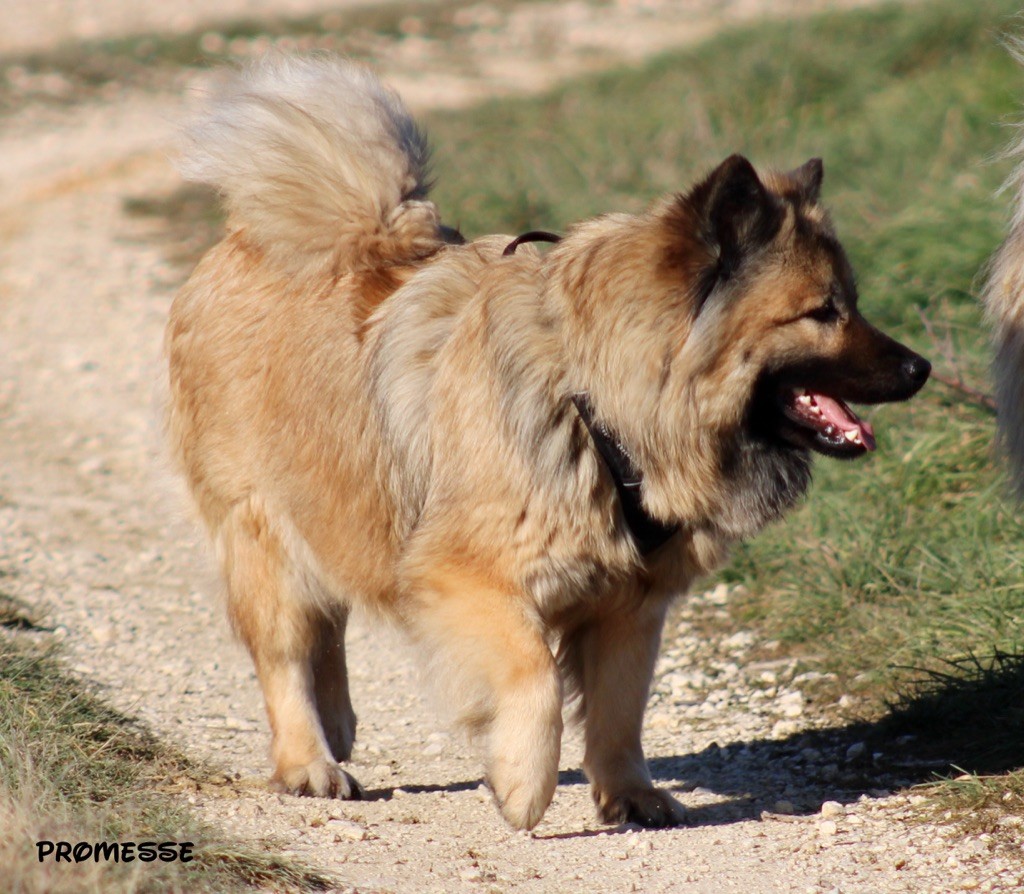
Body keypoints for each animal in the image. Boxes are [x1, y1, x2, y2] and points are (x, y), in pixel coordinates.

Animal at [163, 57, 933, 831]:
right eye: (823, 312)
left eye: (852, 303)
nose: (920, 368)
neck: (592, 403)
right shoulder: (468, 577)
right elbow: (533, 677)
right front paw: (522, 784)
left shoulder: (631, 604)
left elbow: (620, 713)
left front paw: (630, 793)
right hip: (264, 531)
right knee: (286, 651)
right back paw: (310, 760)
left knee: (331, 619)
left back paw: (338, 723)